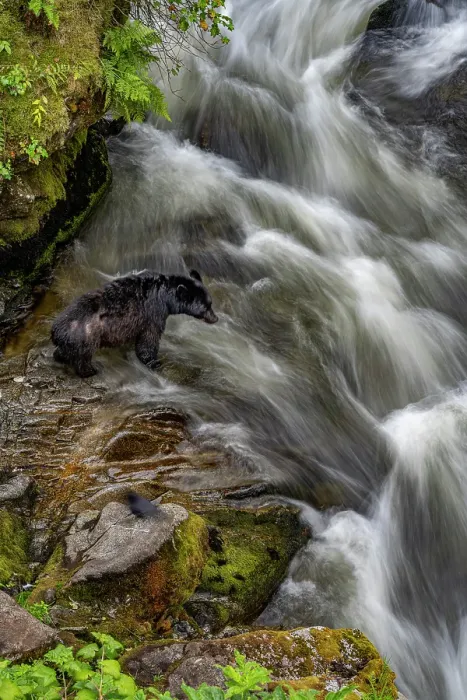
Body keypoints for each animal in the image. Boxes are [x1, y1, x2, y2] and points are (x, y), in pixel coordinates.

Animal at [51, 269, 218, 378]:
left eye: (211, 303)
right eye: (205, 307)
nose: (215, 318)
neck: (163, 295)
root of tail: (56, 330)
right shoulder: (153, 313)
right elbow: (148, 339)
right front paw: (154, 362)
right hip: (86, 337)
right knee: (82, 358)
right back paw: (90, 371)